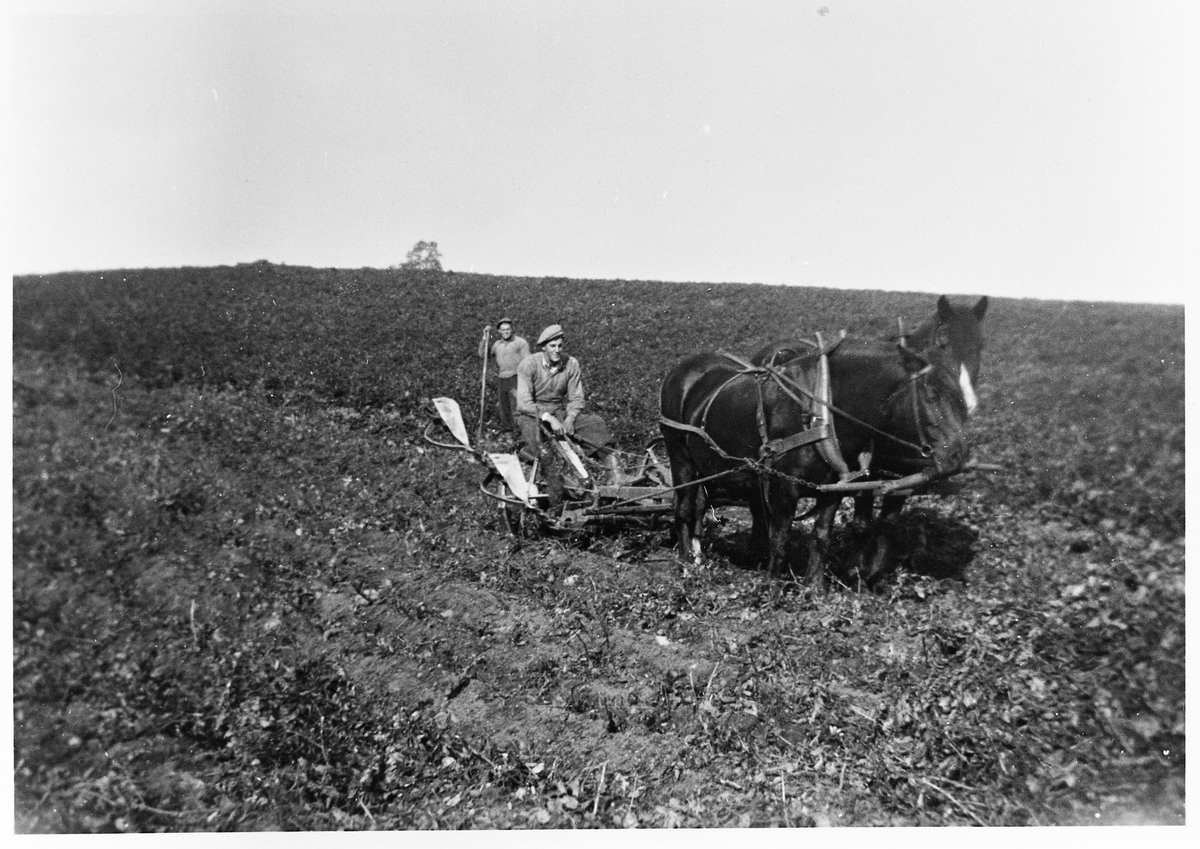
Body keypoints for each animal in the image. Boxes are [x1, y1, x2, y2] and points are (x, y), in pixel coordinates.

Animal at [662, 340, 969, 587]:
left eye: (962, 398)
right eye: (931, 395)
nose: (958, 456)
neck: (819, 412)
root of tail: (684, 370)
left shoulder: (833, 487)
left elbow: (821, 537)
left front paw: (815, 589)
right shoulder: (784, 487)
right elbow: (780, 539)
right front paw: (771, 589)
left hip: (710, 467)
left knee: (702, 504)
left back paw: (701, 555)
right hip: (679, 456)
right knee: (683, 508)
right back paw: (687, 562)